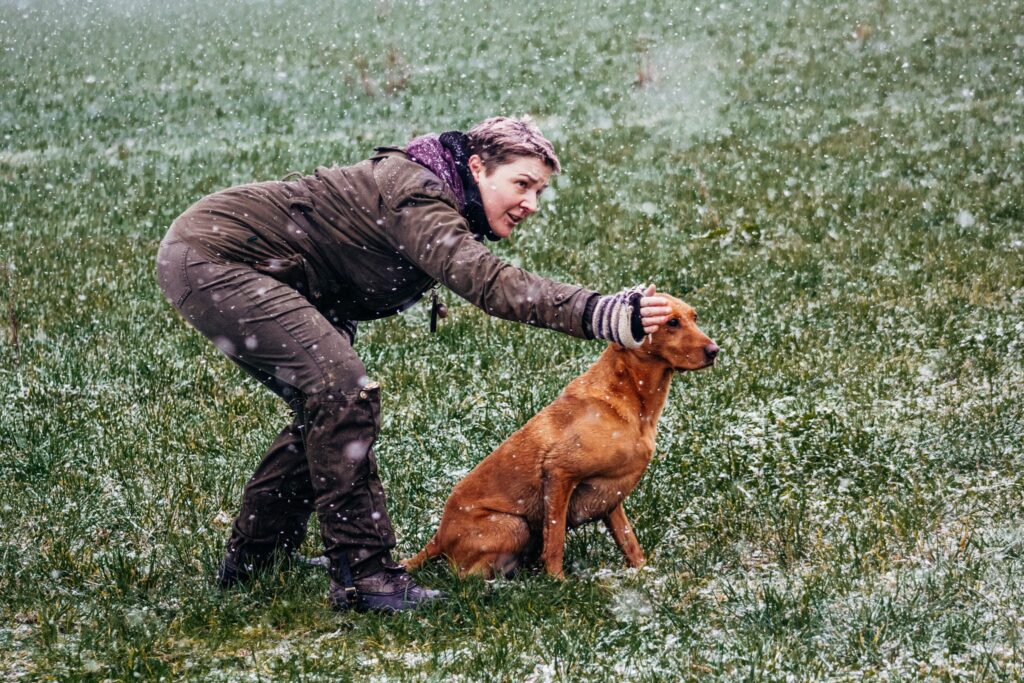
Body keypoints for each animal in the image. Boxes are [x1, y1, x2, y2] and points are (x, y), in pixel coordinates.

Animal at [401, 294, 720, 577]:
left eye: (694, 318)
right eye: (672, 322)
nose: (715, 351)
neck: (631, 400)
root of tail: (438, 537)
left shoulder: (612, 499)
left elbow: (629, 541)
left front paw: (644, 574)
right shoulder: (559, 474)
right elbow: (555, 539)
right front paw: (557, 581)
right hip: (514, 525)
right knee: (466, 578)